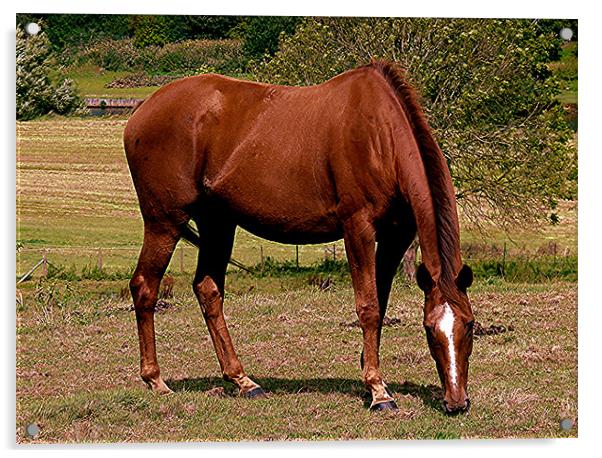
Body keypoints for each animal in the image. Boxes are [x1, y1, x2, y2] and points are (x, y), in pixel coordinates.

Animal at [124, 60, 474, 416]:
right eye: (429, 329)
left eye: (470, 324)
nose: (456, 402)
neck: (379, 135)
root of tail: (141, 112)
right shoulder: (358, 228)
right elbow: (369, 306)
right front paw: (378, 391)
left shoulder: (396, 236)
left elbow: (382, 301)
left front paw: (370, 370)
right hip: (165, 222)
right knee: (145, 287)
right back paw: (155, 379)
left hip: (217, 222)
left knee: (208, 290)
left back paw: (242, 380)